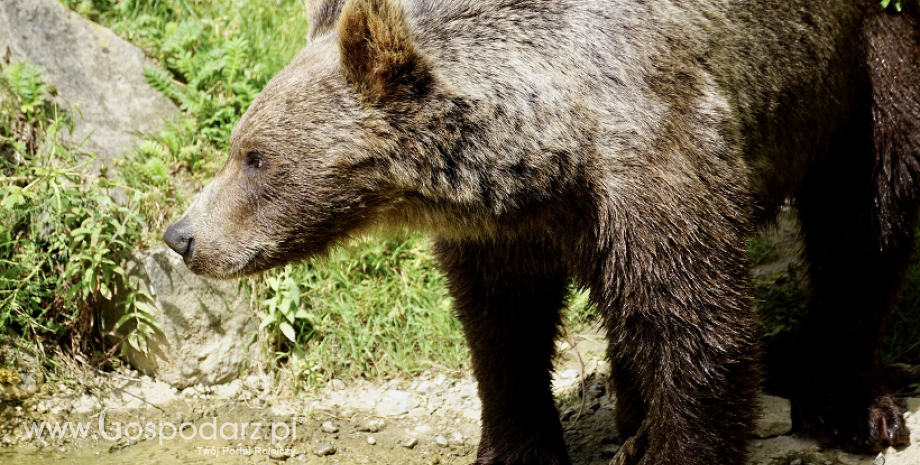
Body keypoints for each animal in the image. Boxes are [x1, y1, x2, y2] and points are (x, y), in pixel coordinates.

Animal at [165, 0, 920, 464]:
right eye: (239, 145)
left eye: (256, 157)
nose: (182, 235)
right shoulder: (508, 231)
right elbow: (502, 328)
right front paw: (516, 445)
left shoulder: (657, 163)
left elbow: (698, 329)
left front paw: (676, 441)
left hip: (862, 52)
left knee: (870, 211)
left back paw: (852, 404)